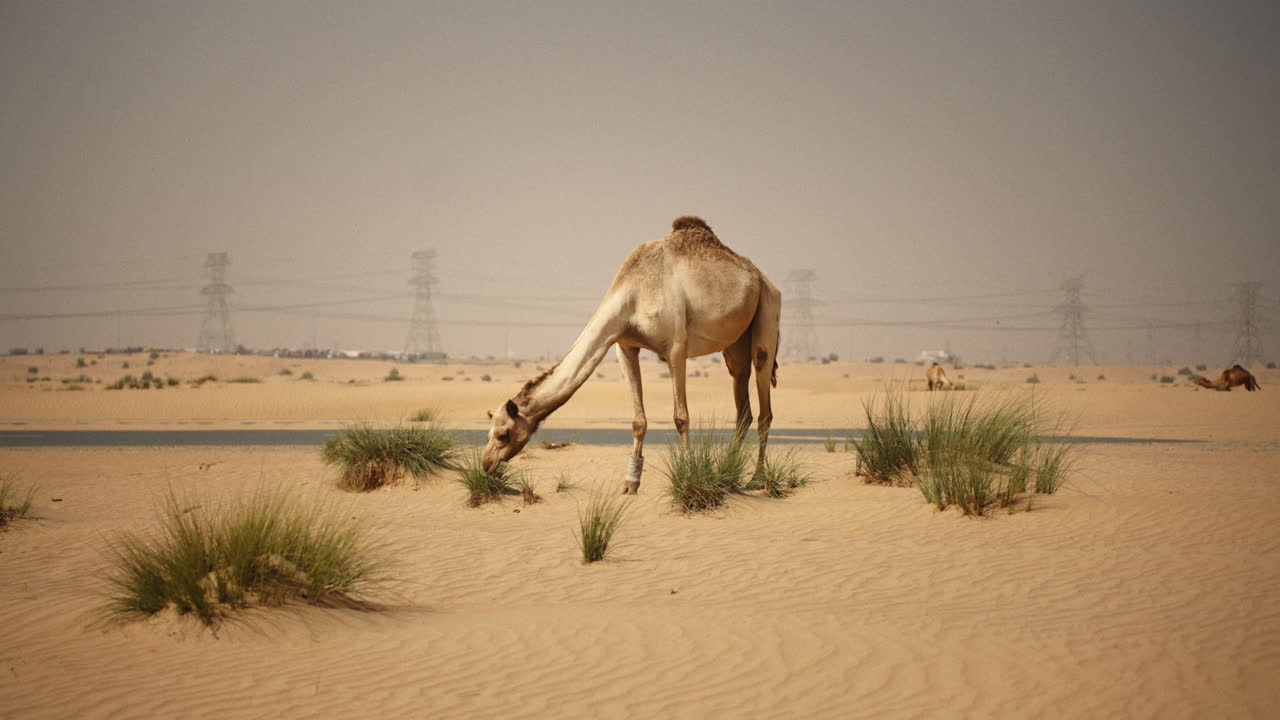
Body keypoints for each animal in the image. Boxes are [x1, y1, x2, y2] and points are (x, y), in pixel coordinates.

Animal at [482, 216, 782, 495]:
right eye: (489, 431)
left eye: (504, 434)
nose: (485, 464)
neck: (632, 297)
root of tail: (763, 278)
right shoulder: (624, 346)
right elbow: (638, 420)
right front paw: (630, 484)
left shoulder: (676, 348)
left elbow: (681, 417)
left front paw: (687, 478)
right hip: (735, 343)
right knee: (742, 403)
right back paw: (728, 475)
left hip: (768, 309)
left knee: (763, 394)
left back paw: (756, 479)